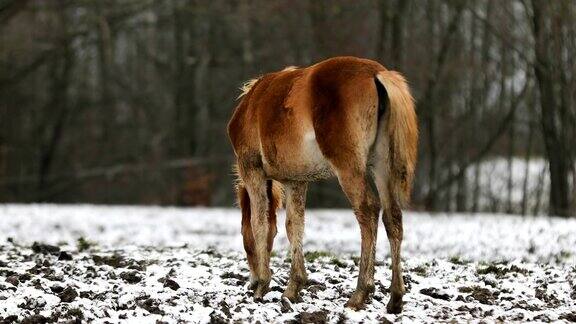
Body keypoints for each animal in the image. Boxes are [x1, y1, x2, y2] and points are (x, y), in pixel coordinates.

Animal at [227, 57, 416, 312]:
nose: (252, 281)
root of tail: (376, 73)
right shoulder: (296, 181)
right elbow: (293, 226)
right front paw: (293, 287)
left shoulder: (252, 171)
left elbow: (260, 223)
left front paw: (263, 286)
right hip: (382, 165)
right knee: (392, 217)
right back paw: (395, 298)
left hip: (350, 169)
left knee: (368, 211)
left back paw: (360, 293)